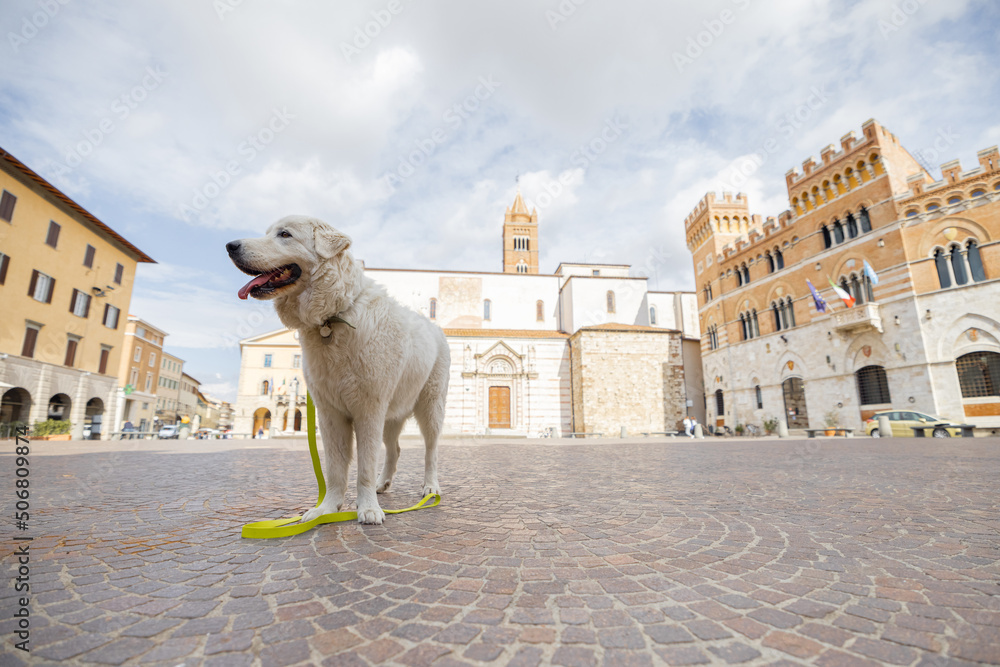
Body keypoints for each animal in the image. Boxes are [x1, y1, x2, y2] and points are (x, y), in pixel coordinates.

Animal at [227, 217, 450, 524]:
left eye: (285, 234)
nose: (230, 246)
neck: (333, 318)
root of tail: (435, 328)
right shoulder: (330, 414)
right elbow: (334, 469)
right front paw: (326, 509)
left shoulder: (368, 411)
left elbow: (364, 466)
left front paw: (368, 510)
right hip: (392, 415)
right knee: (394, 449)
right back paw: (383, 484)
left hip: (429, 408)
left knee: (431, 450)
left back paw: (430, 488)